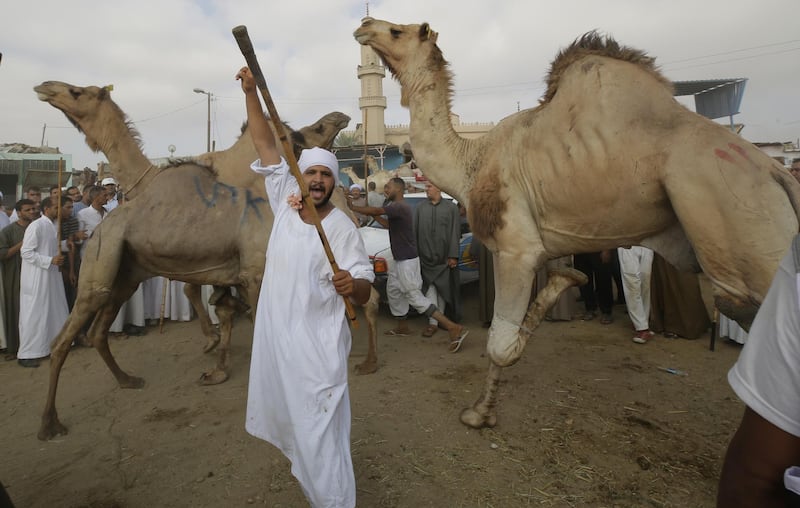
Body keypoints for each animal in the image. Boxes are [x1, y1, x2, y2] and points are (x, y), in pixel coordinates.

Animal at [37, 81, 382, 438]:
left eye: (78, 93)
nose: (46, 87)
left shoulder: (248, 272)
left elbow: (234, 312)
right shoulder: (233, 271)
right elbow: (222, 307)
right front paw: (218, 362)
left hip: (109, 269)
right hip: (118, 270)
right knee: (88, 333)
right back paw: (117, 384)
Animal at [356, 17, 800, 426]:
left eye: (397, 31)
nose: (363, 24)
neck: (472, 161)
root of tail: (779, 175)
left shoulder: (516, 247)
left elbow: (501, 342)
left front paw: (478, 413)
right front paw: (564, 283)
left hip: (741, 228)